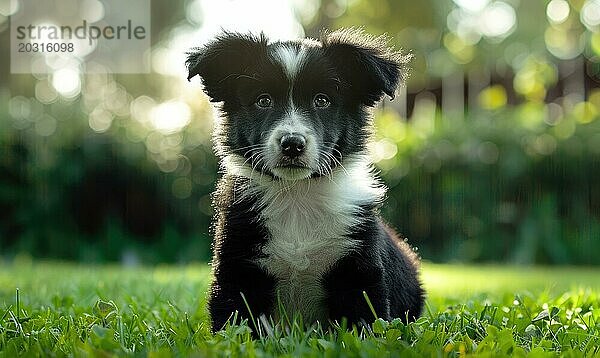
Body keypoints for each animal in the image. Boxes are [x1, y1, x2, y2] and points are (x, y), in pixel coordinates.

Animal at [185, 28, 424, 332]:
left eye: (322, 100)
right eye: (263, 100)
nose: (292, 144)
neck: (297, 193)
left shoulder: (358, 269)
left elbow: (365, 324)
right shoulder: (237, 267)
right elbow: (235, 324)